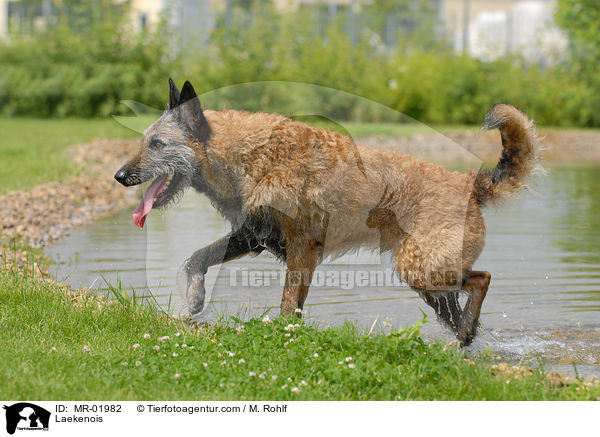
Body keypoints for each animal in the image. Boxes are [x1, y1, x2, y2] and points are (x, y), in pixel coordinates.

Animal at [113, 78, 540, 344]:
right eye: (145, 140)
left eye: (157, 143)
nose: (118, 175)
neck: (247, 155)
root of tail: (470, 183)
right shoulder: (253, 235)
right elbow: (196, 259)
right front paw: (196, 299)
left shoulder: (302, 248)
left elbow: (288, 305)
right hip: (432, 285)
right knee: (465, 302)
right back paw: (466, 336)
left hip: (422, 269)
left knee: (482, 279)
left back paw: (466, 330)